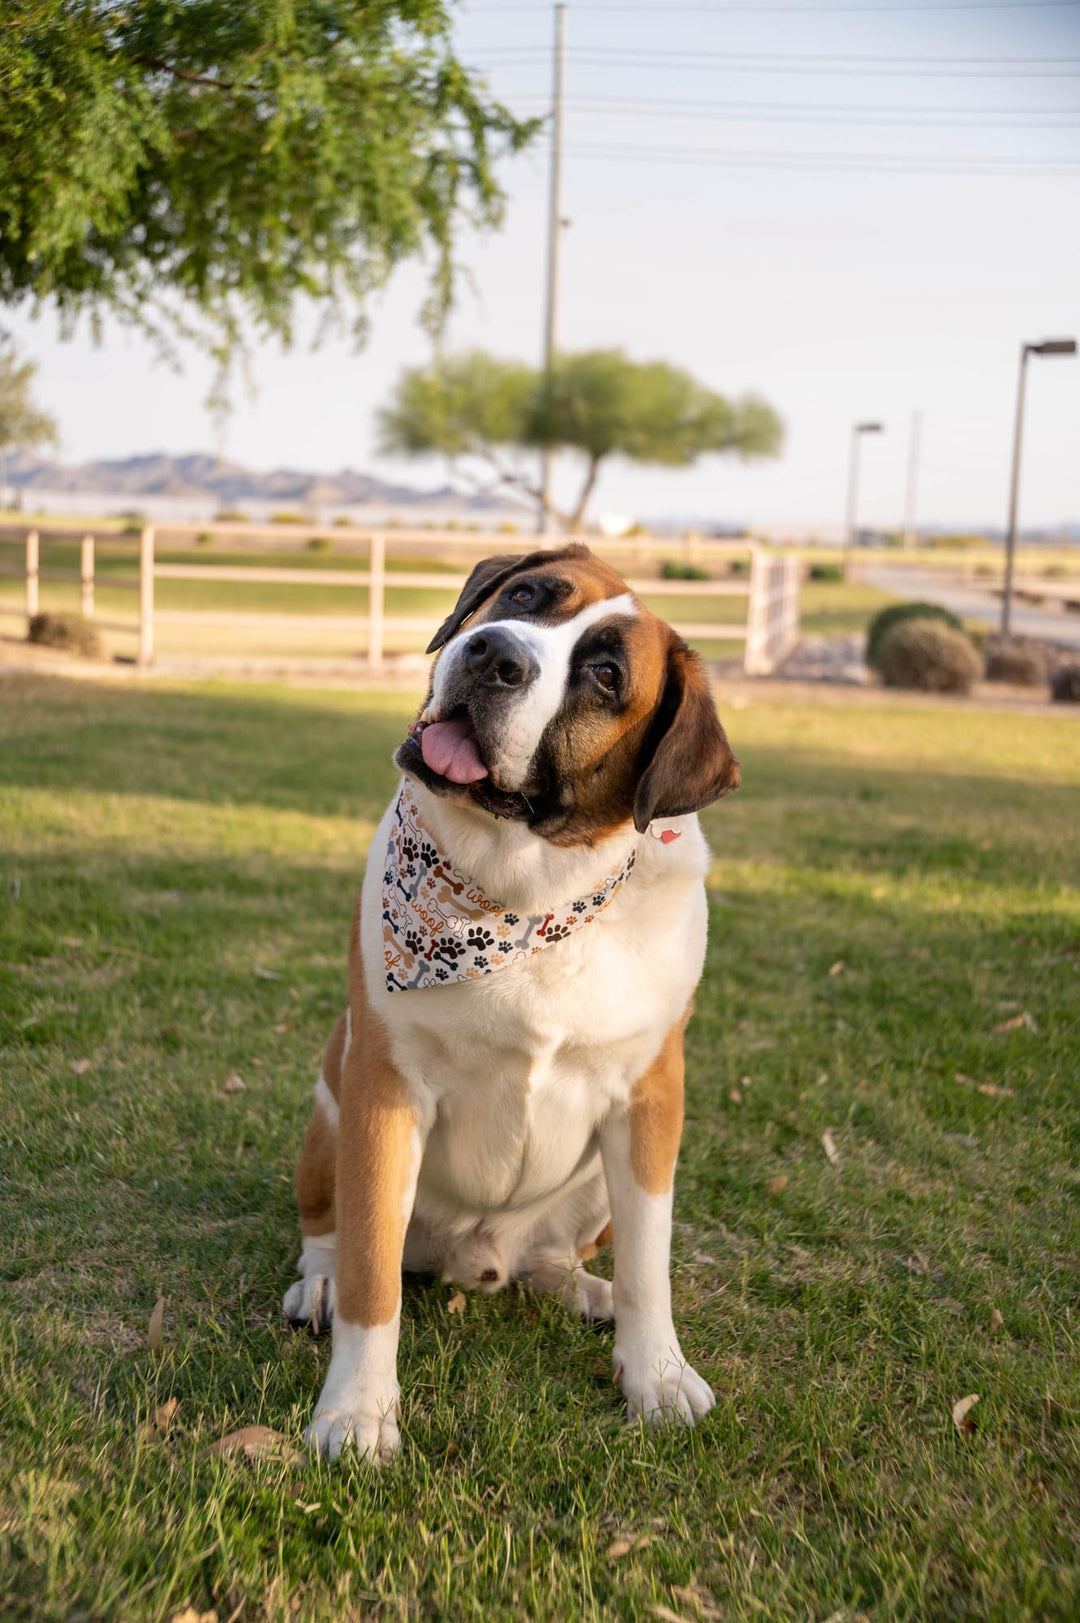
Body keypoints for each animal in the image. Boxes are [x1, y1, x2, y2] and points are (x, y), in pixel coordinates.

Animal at [284, 542, 740, 1460]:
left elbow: (651, 1256)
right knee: (329, 1233)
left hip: (593, 1187)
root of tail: (478, 1259)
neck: (529, 892)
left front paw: (656, 1371)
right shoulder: (382, 1092)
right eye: (526, 594)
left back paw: (584, 1288)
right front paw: (356, 1409)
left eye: (605, 675)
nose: (495, 653)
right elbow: (370, 1267)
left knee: (558, 1257)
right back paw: (317, 1285)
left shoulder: (651, 1101)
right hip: (330, 1115)